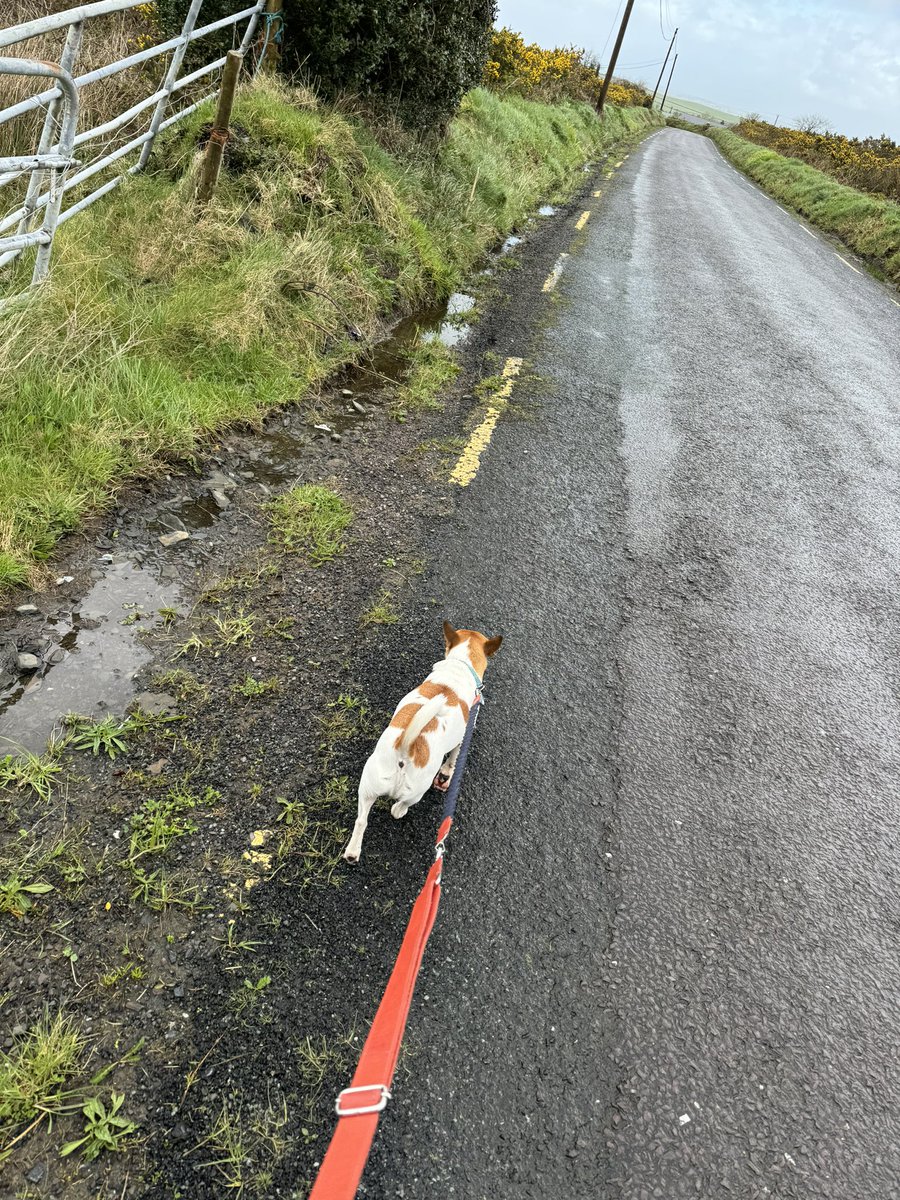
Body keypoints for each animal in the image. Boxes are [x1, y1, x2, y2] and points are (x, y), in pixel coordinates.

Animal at [343, 619, 504, 864]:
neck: (459, 665)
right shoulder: (462, 738)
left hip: (368, 785)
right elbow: (453, 760)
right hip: (417, 789)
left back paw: (352, 853)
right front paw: (447, 775)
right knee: (401, 805)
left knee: (361, 820)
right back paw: (400, 810)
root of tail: (406, 749)